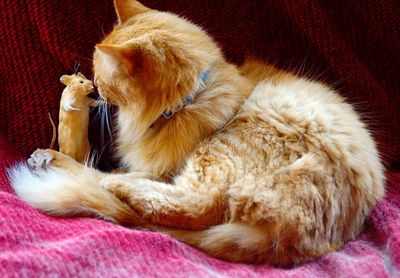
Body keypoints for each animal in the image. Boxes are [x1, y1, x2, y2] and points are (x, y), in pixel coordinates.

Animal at [9, 0, 384, 264]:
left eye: (100, 78)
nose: (94, 90)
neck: (188, 102)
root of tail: (287, 242)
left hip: (227, 147)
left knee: (191, 203)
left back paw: (107, 179)